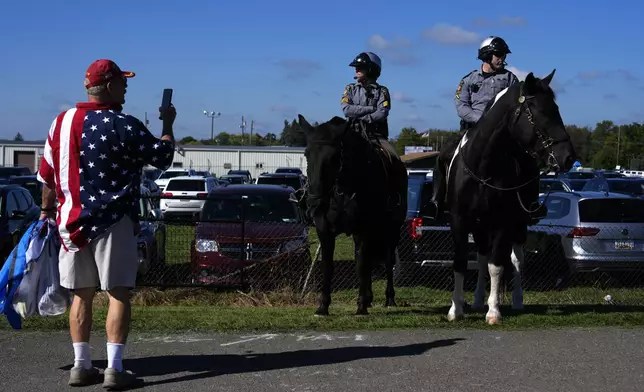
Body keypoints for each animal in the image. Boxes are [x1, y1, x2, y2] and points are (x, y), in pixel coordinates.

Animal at [296, 113, 408, 316]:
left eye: (334, 157)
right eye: (307, 154)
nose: (315, 203)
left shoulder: (363, 230)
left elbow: (362, 264)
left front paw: (361, 306)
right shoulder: (325, 230)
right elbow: (329, 266)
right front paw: (323, 306)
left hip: (392, 230)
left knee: (387, 261)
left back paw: (389, 298)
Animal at [446, 70, 576, 324]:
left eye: (556, 108)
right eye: (539, 111)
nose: (568, 157)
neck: (483, 168)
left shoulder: (502, 223)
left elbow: (497, 266)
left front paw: (493, 311)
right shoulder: (459, 221)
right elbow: (461, 263)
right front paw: (456, 309)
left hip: (519, 225)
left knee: (516, 260)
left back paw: (516, 301)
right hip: (480, 227)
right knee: (482, 258)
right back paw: (477, 301)